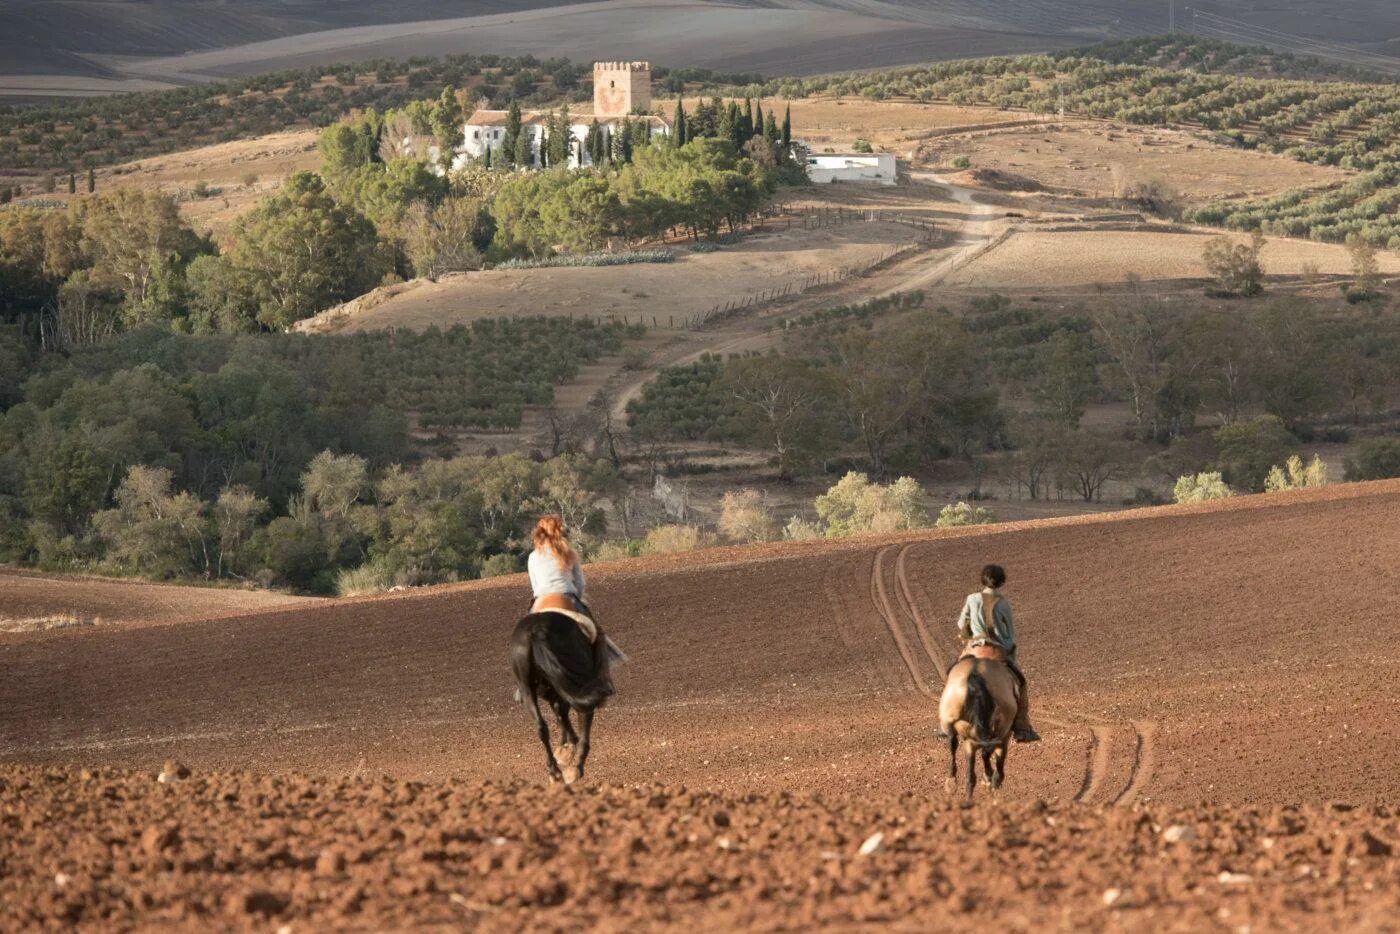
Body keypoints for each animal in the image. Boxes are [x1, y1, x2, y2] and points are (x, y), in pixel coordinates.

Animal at [506, 602, 610, 784]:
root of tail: (537, 631)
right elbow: (564, 715)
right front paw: (568, 750)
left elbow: (560, 715)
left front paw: (564, 749)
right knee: (583, 715)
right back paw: (575, 767)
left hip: (528, 689)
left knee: (542, 727)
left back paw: (555, 771)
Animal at [940, 649, 1019, 806]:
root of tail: (974, 674)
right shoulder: (1002, 737)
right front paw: (992, 780)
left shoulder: (970, 743)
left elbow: (971, 777)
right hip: (1000, 731)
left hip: (951, 718)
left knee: (952, 741)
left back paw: (953, 782)